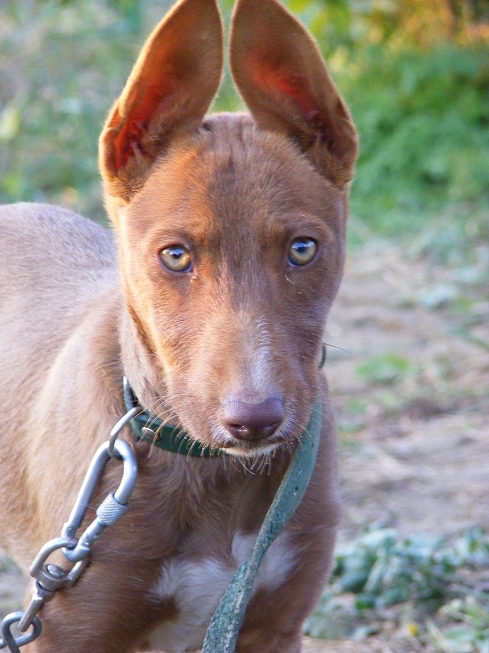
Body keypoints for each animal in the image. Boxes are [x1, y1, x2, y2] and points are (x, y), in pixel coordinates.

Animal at [0, 0, 358, 648]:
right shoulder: (67, 627)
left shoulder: (274, 624)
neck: (213, 473)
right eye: (174, 256)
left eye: (302, 249)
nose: (255, 420)